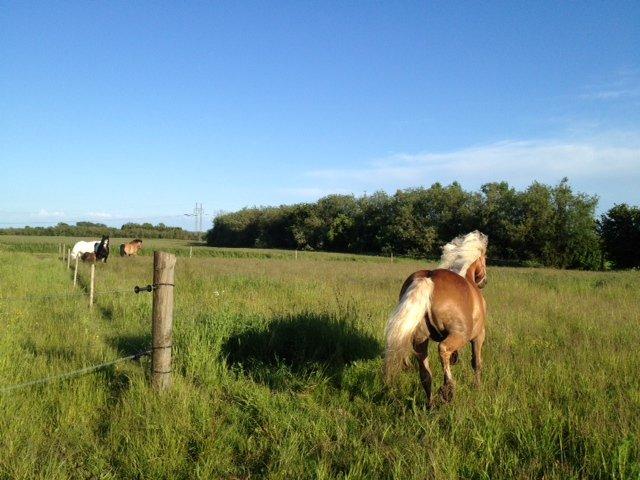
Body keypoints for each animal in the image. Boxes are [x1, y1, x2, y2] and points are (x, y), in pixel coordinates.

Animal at [384, 231, 490, 406]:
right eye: (484, 259)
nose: (484, 281)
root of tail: (429, 278)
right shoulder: (478, 336)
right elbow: (477, 363)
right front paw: (478, 387)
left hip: (420, 340)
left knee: (426, 375)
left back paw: (431, 405)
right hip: (459, 335)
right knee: (443, 349)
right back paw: (448, 390)